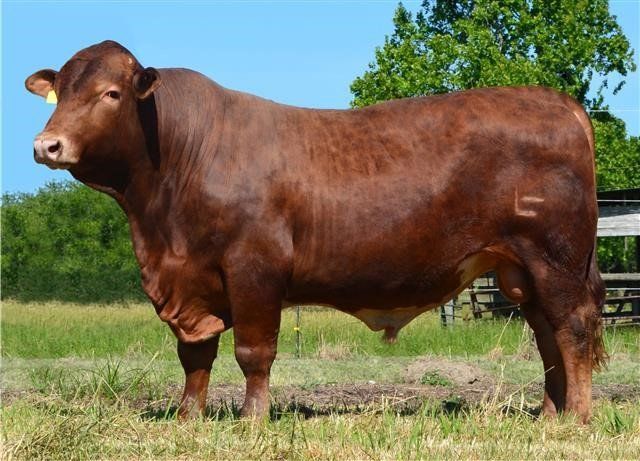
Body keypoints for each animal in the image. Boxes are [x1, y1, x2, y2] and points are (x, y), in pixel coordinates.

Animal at [26, 40, 605, 423]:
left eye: (110, 93)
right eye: (60, 92)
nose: (46, 145)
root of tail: (561, 103)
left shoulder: (254, 268)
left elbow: (253, 352)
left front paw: (252, 421)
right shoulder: (188, 279)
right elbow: (195, 355)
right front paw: (188, 418)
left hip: (556, 259)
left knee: (572, 328)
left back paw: (576, 419)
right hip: (521, 269)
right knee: (547, 337)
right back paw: (548, 415)